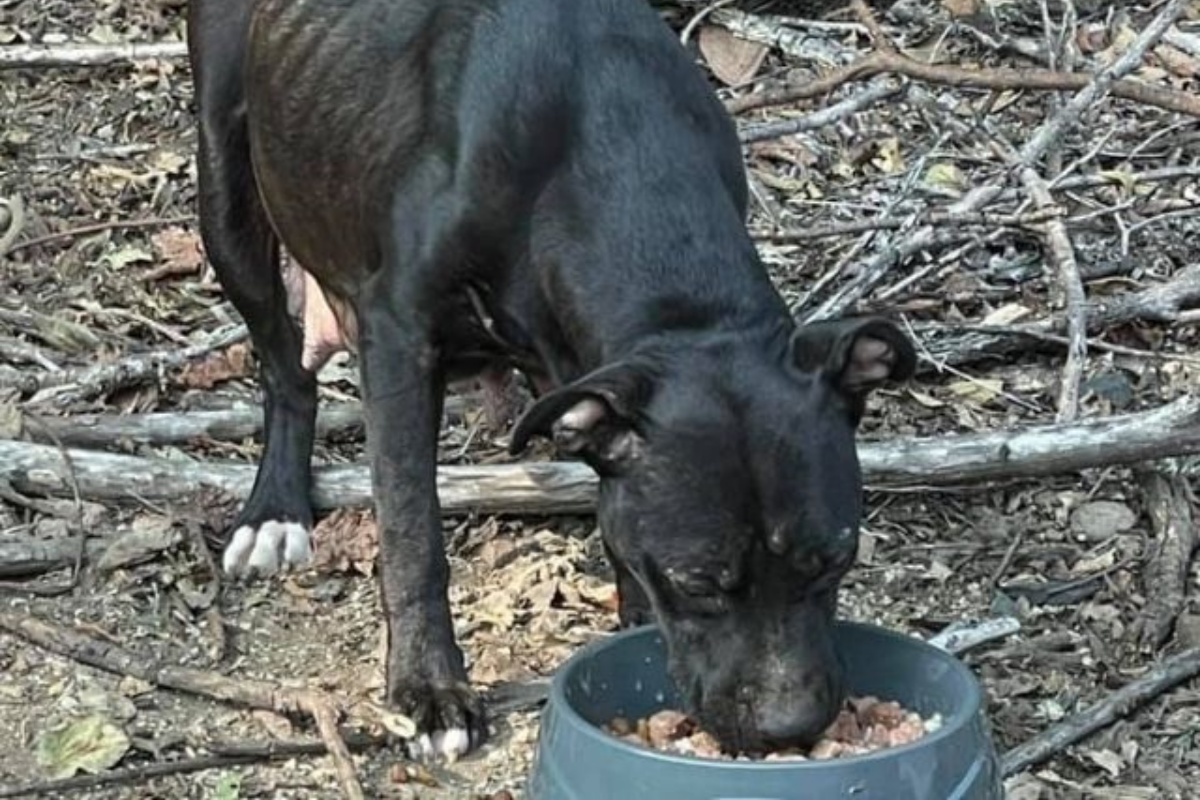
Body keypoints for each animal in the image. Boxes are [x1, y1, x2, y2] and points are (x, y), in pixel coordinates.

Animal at [189, 0, 916, 762]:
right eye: (698, 583)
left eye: (835, 559)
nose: (789, 730)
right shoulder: (398, 335)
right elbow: (412, 532)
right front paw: (430, 691)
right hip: (227, 193)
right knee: (284, 369)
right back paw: (275, 510)